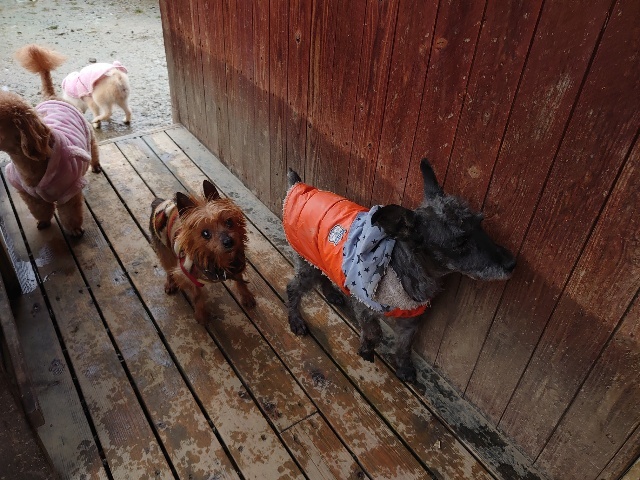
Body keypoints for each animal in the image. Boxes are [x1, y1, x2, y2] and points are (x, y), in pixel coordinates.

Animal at [0, 44, 101, 237]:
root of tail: (52, 96)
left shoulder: (69, 190)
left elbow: (70, 213)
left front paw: (75, 230)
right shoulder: (28, 193)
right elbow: (39, 209)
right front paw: (44, 222)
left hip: (88, 134)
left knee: (94, 148)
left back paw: (96, 165)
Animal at [149, 180, 256, 324]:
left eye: (229, 222)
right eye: (205, 233)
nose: (229, 242)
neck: (218, 259)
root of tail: (160, 202)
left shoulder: (237, 263)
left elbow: (240, 280)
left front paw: (246, 296)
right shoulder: (187, 274)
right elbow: (197, 296)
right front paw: (202, 315)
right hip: (165, 250)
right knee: (168, 268)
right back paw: (170, 283)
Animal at [283, 158, 516, 382]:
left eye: (480, 224)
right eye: (460, 243)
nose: (512, 263)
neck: (400, 267)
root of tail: (298, 186)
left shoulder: (412, 318)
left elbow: (405, 344)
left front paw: (404, 368)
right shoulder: (363, 304)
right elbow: (375, 332)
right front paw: (367, 349)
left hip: (318, 259)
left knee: (322, 274)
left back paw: (331, 294)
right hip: (306, 262)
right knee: (293, 288)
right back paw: (296, 321)